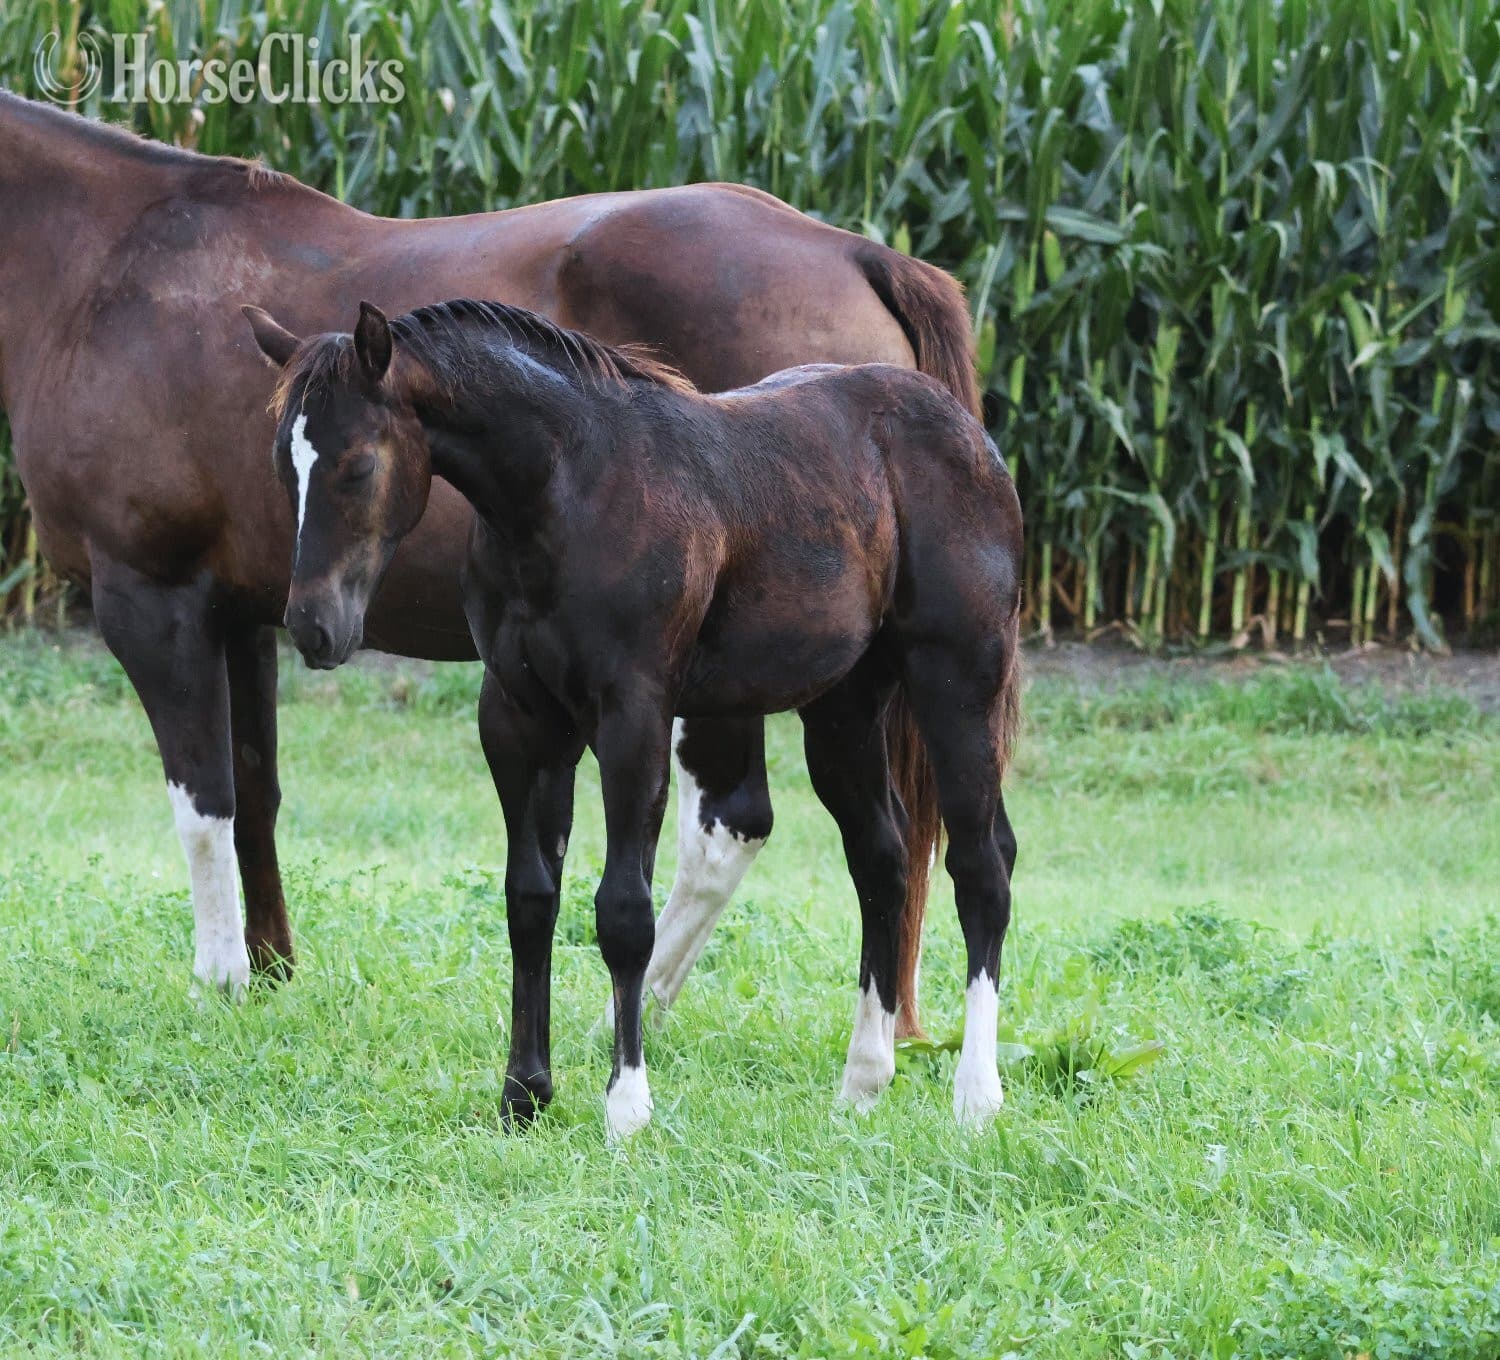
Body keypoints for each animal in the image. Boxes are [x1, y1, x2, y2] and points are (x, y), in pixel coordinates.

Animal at [0, 90, 977, 1028]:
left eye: (359, 469)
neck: (106, 268)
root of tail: (856, 254)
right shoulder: (245, 614)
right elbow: (255, 790)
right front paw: (271, 968)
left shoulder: (152, 600)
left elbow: (204, 801)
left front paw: (221, 980)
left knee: (729, 825)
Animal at [246, 298, 1023, 1138]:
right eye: (282, 466)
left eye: (358, 465)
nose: (314, 627)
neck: (567, 496)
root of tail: (972, 435)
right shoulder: (520, 722)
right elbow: (530, 898)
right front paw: (524, 1094)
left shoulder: (634, 718)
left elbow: (622, 910)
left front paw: (626, 1106)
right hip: (843, 709)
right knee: (882, 858)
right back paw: (862, 1083)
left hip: (958, 682)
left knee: (981, 865)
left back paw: (976, 1096)